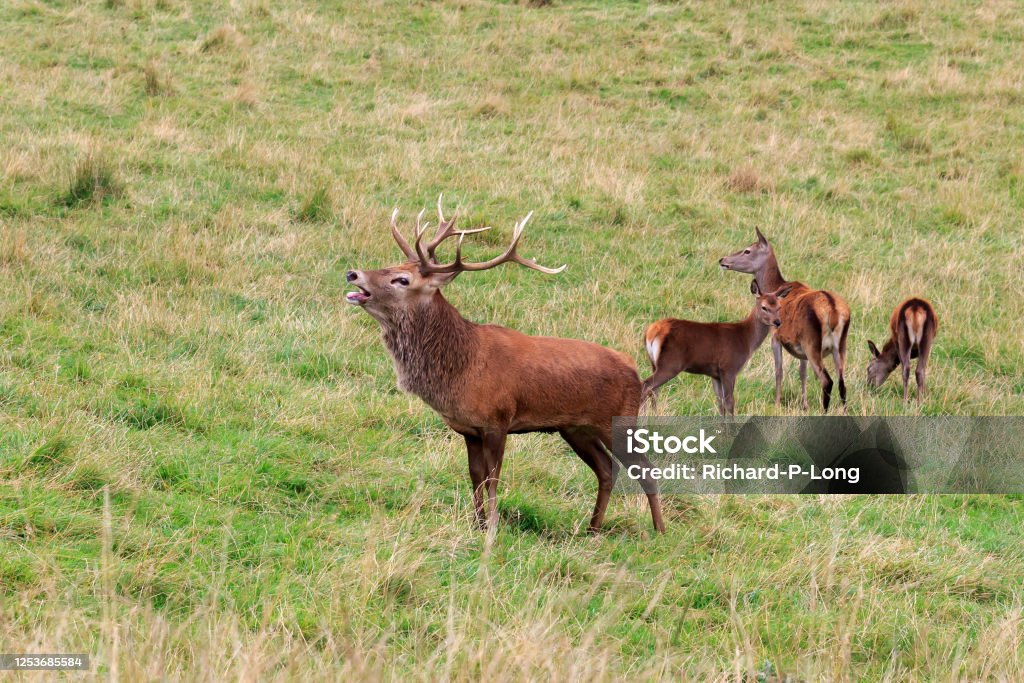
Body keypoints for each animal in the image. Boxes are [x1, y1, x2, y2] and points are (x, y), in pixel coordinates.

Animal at [345, 197, 665, 534]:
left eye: (402, 280)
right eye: (393, 265)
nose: (353, 273)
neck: (462, 367)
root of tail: (638, 376)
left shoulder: (498, 419)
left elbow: (493, 478)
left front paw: (494, 526)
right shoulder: (468, 428)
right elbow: (475, 476)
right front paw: (478, 523)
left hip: (618, 420)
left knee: (646, 470)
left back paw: (658, 531)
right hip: (576, 428)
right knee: (606, 468)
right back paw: (592, 529)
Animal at [642, 280, 790, 415]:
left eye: (779, 307)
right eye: (764, 307)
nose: (777, 322)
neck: (746, 340)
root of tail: (652, 331)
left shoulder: (714, 374)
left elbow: (720, 403)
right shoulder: (729, 367)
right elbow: (729, 402)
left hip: (654, 363)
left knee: (654, 391)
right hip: (671, 363)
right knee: (646, 385)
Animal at [719, 228, 851, 413]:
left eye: (747, 250)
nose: (722, 260)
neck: (775, 287)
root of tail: (833, 311)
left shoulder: (775, 336)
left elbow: (779, 371)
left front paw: (777, 403)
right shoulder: (800, 347)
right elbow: (802, 373)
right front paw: (804, 405)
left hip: (813, 343)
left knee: (827, 380)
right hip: (840, 346)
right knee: (842, 382)